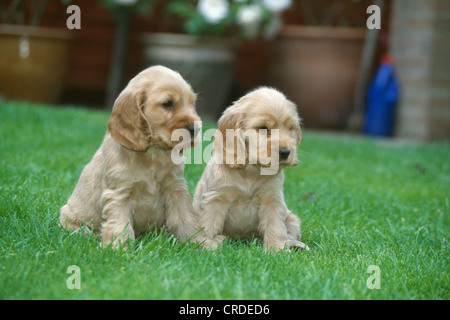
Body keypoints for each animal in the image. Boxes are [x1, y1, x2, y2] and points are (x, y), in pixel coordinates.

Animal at [60, 65, 221, 250]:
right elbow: (120, 224)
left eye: (192, 104)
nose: (195, 129)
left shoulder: (175, 188)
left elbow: (186, 218)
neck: (153, 154)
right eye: (168, 104)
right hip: (69, 217)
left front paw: (200, 242)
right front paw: (119, 249)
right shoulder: (119, 193)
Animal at [193, 87, 310, 252]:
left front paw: (276, 249)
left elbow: (275, 226)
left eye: (290, 128)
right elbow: (208, 222)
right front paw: (205, 244)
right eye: (263, 128)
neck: (251, 170)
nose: (285, 152)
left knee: (292, 232)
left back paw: (295, 244)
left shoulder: (272, 199)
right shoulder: (216, 198)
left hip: (292, 217)